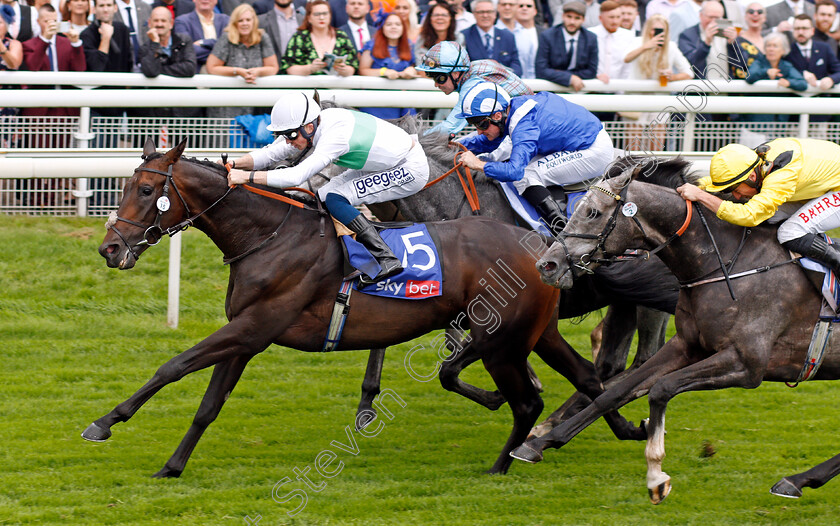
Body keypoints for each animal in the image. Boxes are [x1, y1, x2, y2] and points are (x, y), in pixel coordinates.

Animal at [83, 140, 644, 478]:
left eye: (148, 189)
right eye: (126, 186)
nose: (110, 248)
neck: (269, 236)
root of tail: (541, 244)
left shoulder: (255, 326)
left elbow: (173, 365)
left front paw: (105, 422)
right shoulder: (246, 335)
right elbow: (208, 405)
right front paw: (172, 465)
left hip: (501, 341)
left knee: (527, 401)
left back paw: (502, 463)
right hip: (535, 332)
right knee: (586, 376)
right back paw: (616, 430)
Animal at [508, 159, 840, 506]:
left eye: (592, 212)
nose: (546, 265)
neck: (728, 263)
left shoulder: (746, 364)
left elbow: (661, 388)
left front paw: (656, 474)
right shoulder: (686, 346)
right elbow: (615, 392)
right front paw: (538, 443)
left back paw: (798, 480)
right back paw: (797, 480)